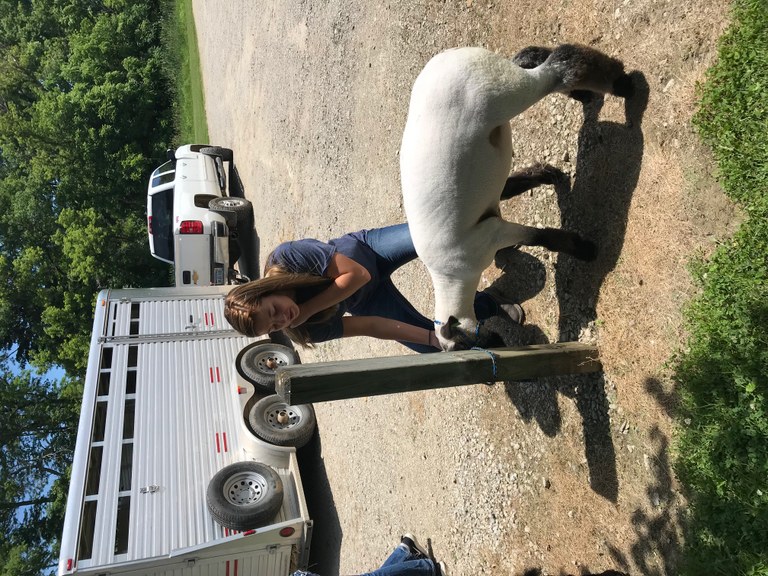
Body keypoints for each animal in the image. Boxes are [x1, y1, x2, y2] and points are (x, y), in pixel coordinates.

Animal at [400, 44, 632, 352]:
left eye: (463, 345)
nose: (498, 343)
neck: (453, 276)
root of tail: (453, 56)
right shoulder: (491, 205)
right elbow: (513, 187)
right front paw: (548, 175)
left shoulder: (493, 233)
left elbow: (540, 237)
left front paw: (583, 249)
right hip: (503, 81)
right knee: (532, 57)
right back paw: (584, 94)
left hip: (505, 92)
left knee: (560, 65)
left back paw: (622, 85)